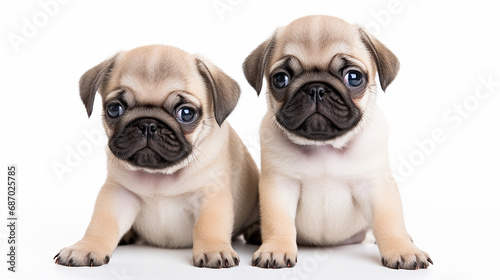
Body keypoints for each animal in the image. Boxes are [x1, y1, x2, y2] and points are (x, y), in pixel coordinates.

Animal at [54, 44, 258, 268]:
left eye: (186, 113)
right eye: (114, 109)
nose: (147, 124)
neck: (158, 177)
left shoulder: (211, 195)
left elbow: (209, 225)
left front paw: (214, 249)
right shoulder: (117, 194)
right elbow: (102, 223)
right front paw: (86, 247)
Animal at [244, 15, 432, 270]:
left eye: (353, 77)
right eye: (281, 79)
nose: (316, 88)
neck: (324, 148)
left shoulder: (376, 185)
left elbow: (388, 221)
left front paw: (403, 250)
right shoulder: (279, 186)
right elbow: (278, 222)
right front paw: (276, 249)